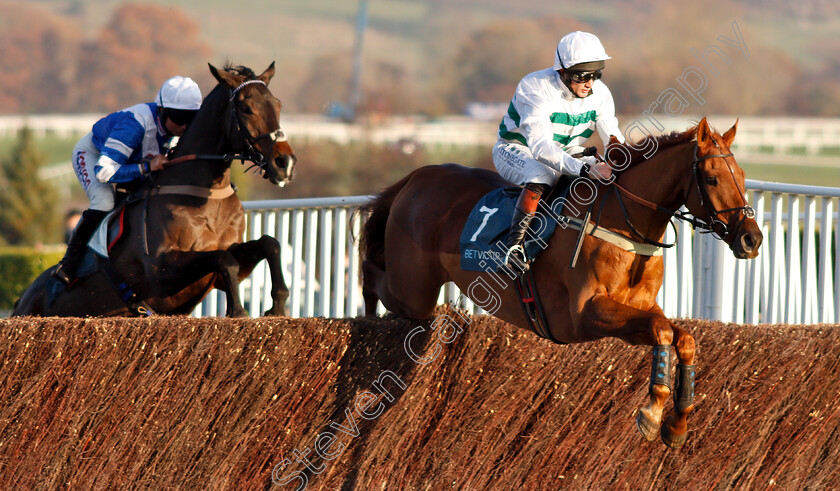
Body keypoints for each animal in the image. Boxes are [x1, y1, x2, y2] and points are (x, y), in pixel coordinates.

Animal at [13, 63, 296, 320]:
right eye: (247, 109)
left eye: (278, 105)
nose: (285, 163)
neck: (205, 194)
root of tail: (21, 299)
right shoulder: (161, 272)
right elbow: (224, 258)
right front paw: (237, 311)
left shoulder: (218, 270)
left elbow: (268, 245)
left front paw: (277, 305)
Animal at [358, 119, 764, 450]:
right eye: (711, 178)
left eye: (743, 175)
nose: (751, 239)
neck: (623, 222)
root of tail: (416, 177)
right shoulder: (585, 315)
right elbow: (663, 331)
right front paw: (651, 412)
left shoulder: (639, 309)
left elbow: (682, 337)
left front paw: (677, 422)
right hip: (412, 290)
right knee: (374, 278)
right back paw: (366, 317)